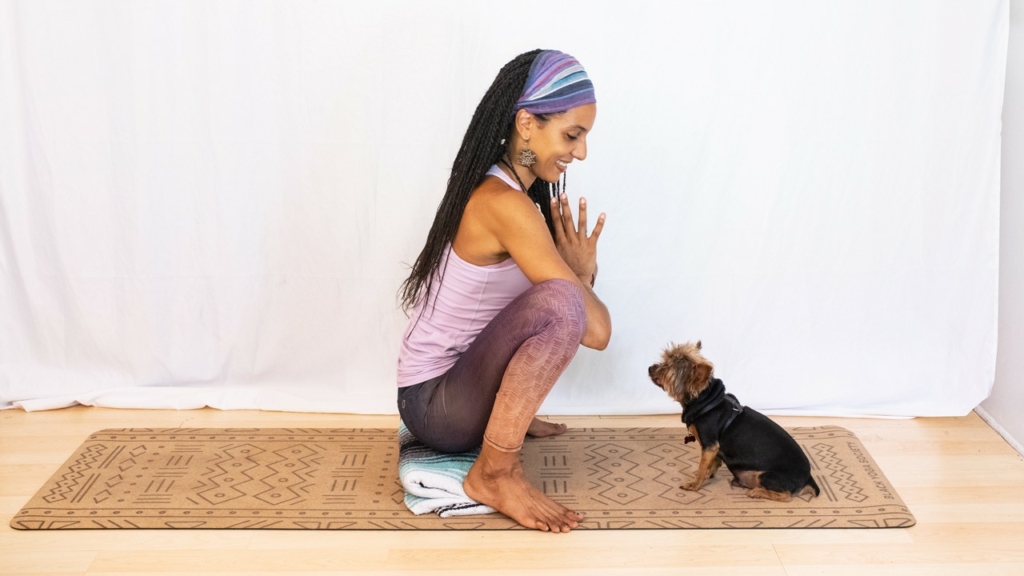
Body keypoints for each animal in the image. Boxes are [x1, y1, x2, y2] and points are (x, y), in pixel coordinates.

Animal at [647, 340, 823, 498]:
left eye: (666, 368)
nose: (649, 367)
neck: (707, 401)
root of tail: (808, 480)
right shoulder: (714, 450)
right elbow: (712, 465)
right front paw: (707, 476)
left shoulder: (709, 446)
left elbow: (702, 468)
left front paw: (694, 484)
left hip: (767, 476)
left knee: (785, 495)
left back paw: (757, 492)